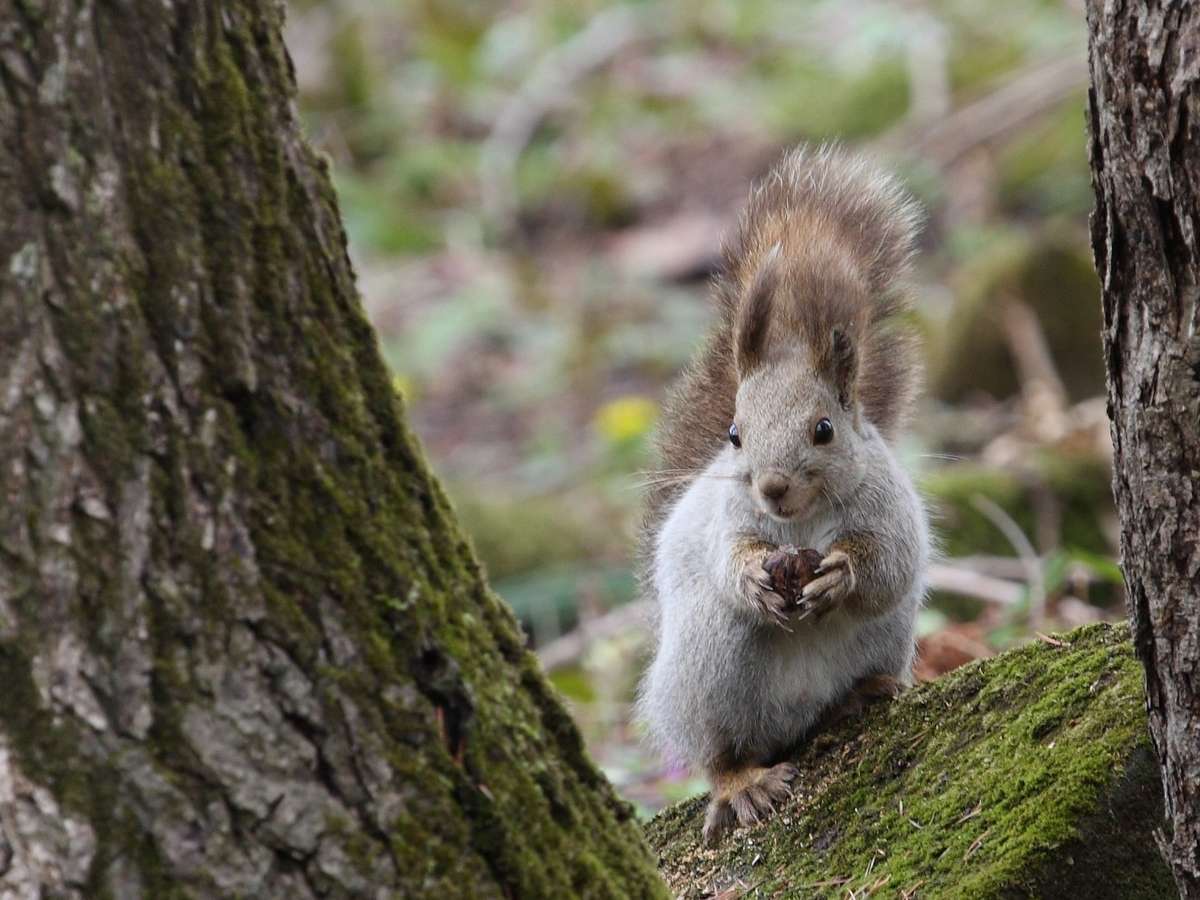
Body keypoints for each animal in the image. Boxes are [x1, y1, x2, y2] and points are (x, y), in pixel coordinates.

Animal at [638, 146, 926, 844]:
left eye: (823, 429)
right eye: (734, 435)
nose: (771, 487)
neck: (800, 523)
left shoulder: (891, 510)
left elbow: (889, 566)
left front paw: (842, 573)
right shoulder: (728, 521)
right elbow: (727, 556)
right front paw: (749, 576)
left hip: (888, 638)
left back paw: (861, 695)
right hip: (706, 669)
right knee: (719, 752)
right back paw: (742, 783)